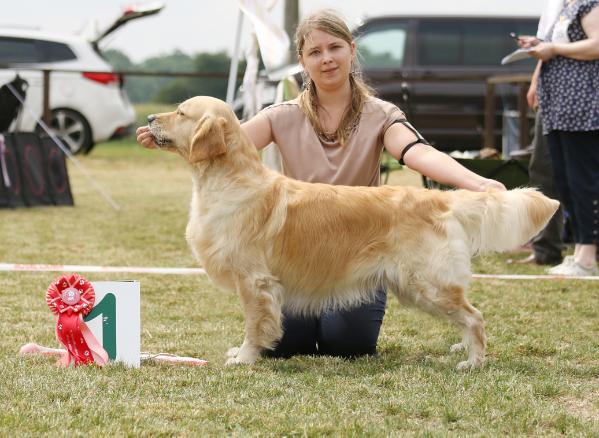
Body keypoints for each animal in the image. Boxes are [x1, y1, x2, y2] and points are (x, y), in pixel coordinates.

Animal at [146, 95, 564, 370]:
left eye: (181, 112)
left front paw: (246, 357)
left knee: (475, 317)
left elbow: (255, 324)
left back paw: (474, 362)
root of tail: (440, 199)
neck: (228, 180)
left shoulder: (255, 282)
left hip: (428, 283)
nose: (149, 117)